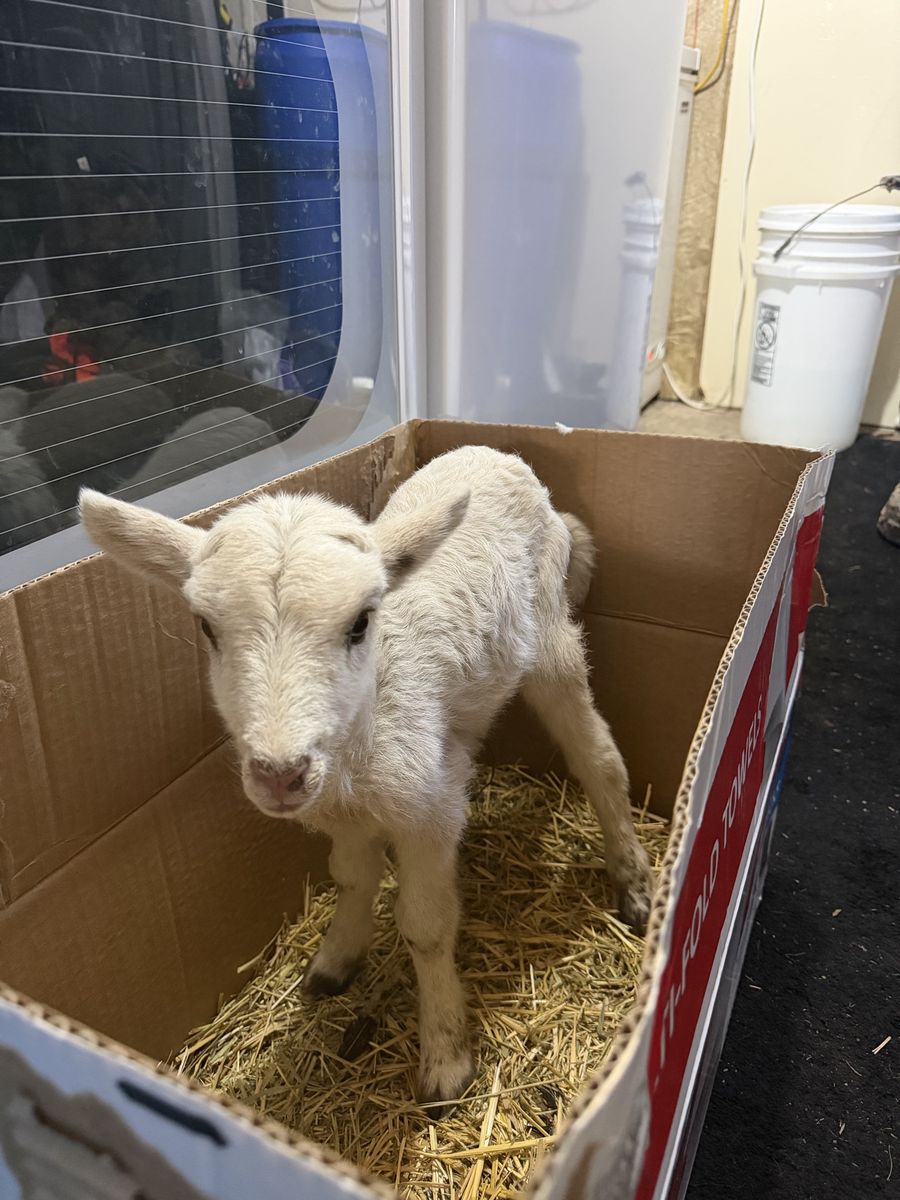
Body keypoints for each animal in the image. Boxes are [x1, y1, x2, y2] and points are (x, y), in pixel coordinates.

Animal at [80, 444, 655, 1113]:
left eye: (360, 623)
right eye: (206, 627)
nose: (280, 774)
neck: (357, 744)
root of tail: (499, 454)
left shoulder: (429, 809)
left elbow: (426, 928)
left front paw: (445, 1059)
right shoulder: (344, 812)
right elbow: (352, 877)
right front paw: (336, 959)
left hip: (551, 635)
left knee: (600, 758)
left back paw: (634, 882)